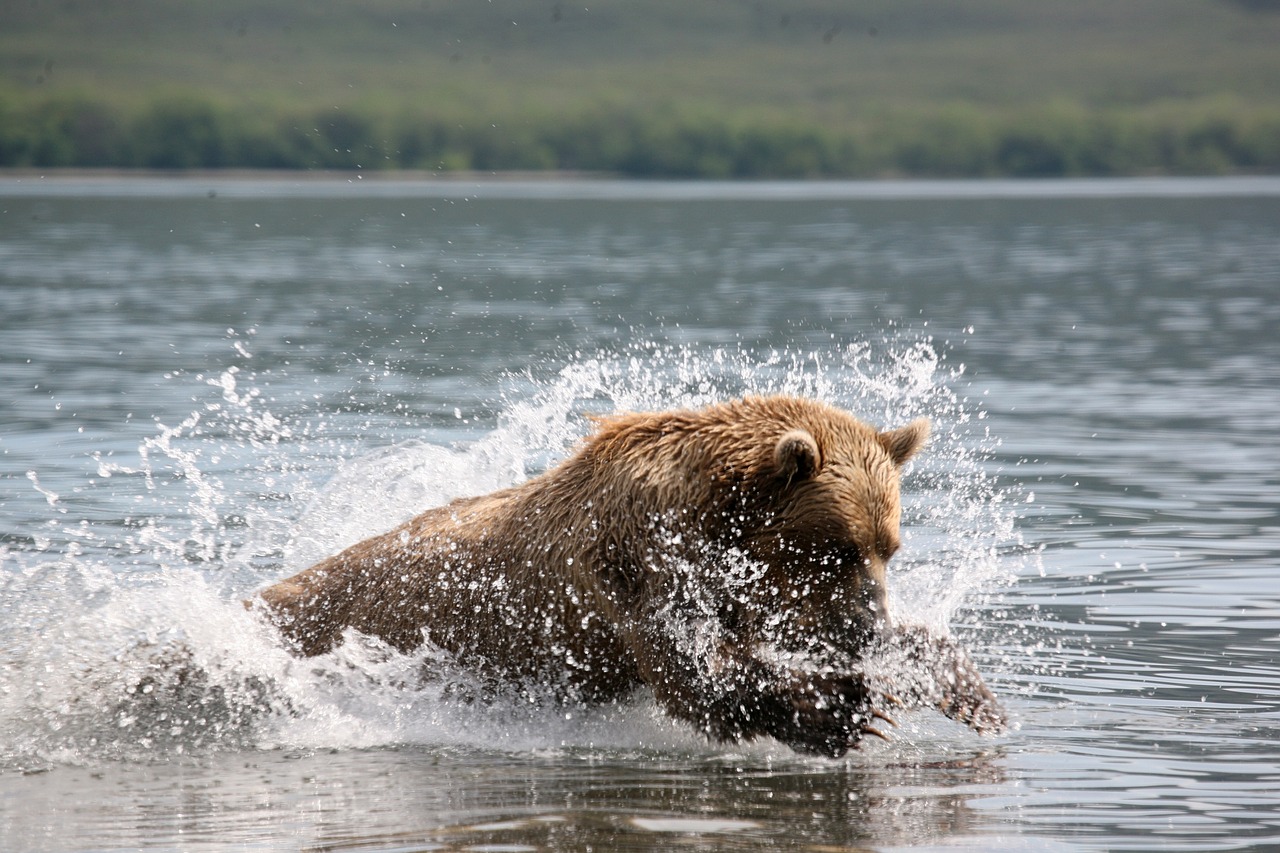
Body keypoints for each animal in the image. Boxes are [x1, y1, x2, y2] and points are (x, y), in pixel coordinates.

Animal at [257, 394, 998, 753]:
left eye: (889, 547)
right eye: (836, 548)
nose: (870, 619)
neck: (711, 517)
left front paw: (964, 689)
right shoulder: (636, 563)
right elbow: (694, 670)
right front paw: (843, 709)